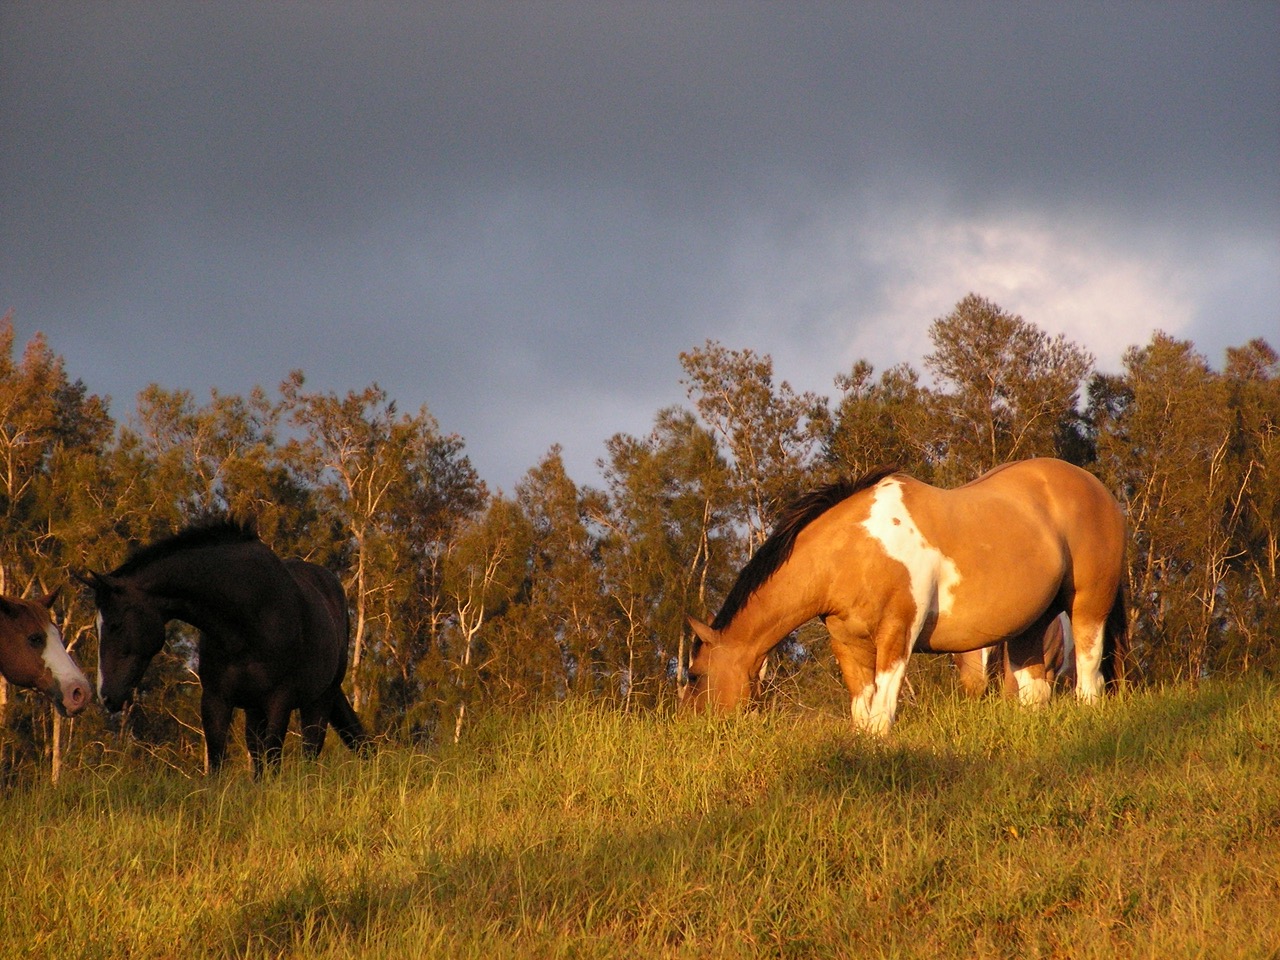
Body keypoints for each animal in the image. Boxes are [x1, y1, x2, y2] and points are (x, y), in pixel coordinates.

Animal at [75, 522, 366, 778]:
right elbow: (218, 762)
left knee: (310, 750)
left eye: (116, 624)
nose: (106, 696)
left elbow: (273, 758)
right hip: (256, 709)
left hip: (319, 699)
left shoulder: (279, 699)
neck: (247, 619)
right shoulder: (216, 699)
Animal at [686, 458, 1126, 737]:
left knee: (1089, 677)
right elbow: (862, 710)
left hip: (1088, 607)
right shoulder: (848, 643)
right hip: (1029, 628)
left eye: (695, 675)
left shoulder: (898, 633)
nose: (696, 729)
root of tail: (1096, 487)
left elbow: (882, 711)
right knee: (1035, 692)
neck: (855, 547)